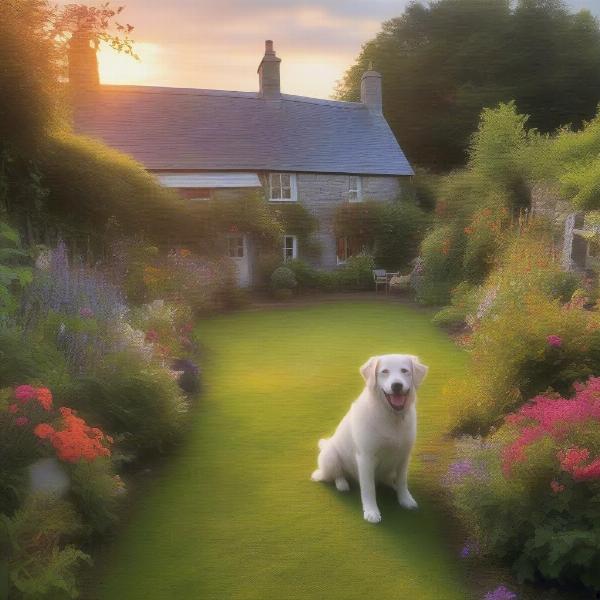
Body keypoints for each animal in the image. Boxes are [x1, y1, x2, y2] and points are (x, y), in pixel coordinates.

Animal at [312, 354, 428, 524]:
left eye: (404, 371)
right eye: (384, 371)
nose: (397, 386)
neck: (391, 418)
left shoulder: (404, 456)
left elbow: (402, 481)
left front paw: (405, 500)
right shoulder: (366, 458)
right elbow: (368, 489)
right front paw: (372, 512)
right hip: (331, 455)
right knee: (334, 475)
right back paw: (342, 484)